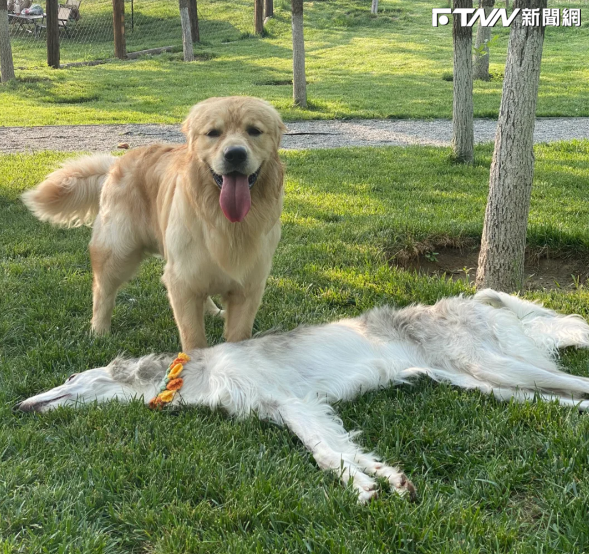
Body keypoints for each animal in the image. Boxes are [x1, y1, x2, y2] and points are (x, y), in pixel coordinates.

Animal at [14, 288, 589, 500]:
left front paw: (363, 490)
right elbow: (338, 450)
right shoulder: (294, 409)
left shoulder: (291, 400)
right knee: (568, 399)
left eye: (70, 380)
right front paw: (382, 480)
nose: (20, 405)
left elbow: (326, 456)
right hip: (490, 385)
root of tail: (471, 298)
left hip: (491, 362)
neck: (194, 374)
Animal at [24, 96, 286, 348]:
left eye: (254, 131)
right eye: (213, 133)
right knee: (102, 290)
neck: (224, 221)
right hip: (118, 252)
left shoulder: (248, 288)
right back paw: (99, 332)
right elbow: (194, 339)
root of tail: (116, 162)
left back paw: (211, 310)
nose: (235, 154)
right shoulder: (182, 281)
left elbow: (238, 336)